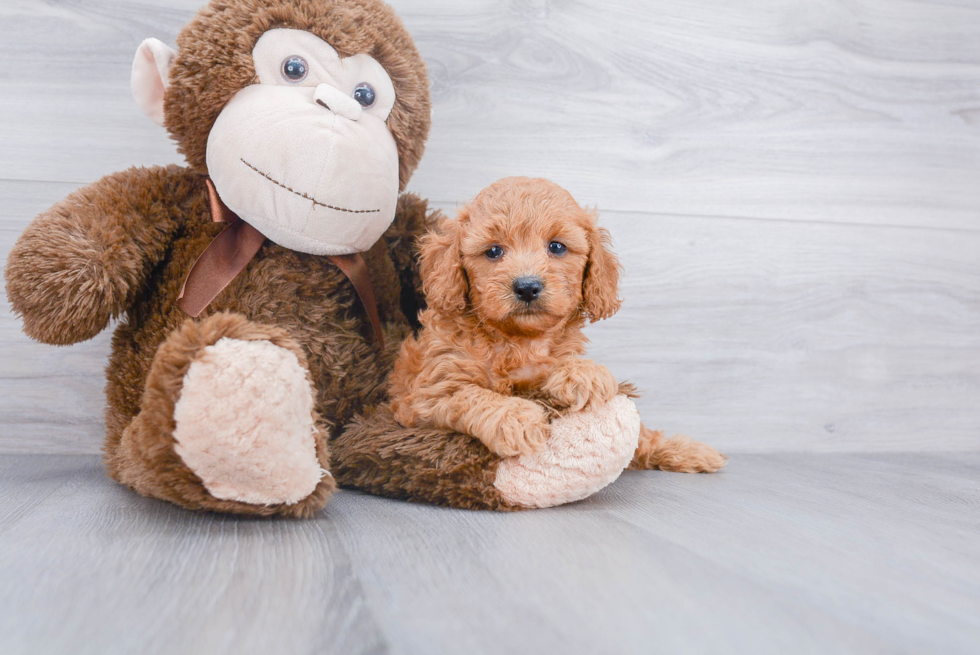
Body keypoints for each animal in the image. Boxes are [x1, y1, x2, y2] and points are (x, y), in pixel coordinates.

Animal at [386, 177, 724, 468]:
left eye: (557, 247)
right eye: (493, 251)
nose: (527, 286)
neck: (518, 340)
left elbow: (642, 434)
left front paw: (584, 373)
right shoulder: (426, 395)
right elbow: (471, 396)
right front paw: (517, 419)